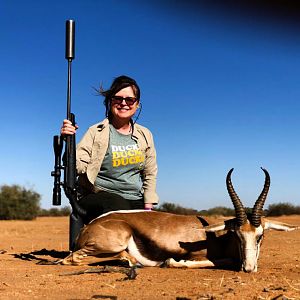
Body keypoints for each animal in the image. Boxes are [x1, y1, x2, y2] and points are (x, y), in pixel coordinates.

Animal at [62, 168, 298, 274]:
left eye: (260, 236)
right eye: (237, 234)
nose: (249, 268)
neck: (216, 237)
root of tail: (88, 227)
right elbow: (220, 261)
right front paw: (172, 262)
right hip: (111, 243)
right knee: (71, 258)